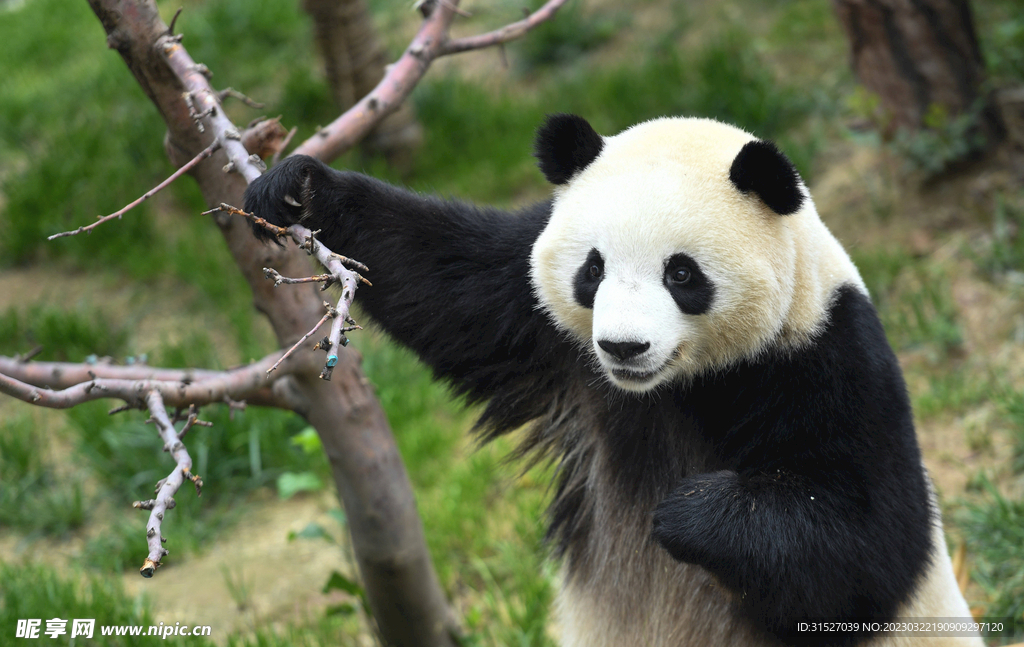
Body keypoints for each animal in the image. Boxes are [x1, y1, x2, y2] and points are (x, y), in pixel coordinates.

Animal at [245, 116, 983, 647]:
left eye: (681, 273)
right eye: (593, 268)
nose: (623, 346)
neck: (674, 386)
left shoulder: (823, 358)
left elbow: (869, 544)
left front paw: (691, 512)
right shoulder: (539, 322)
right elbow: (443, 278)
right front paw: (301, 187)